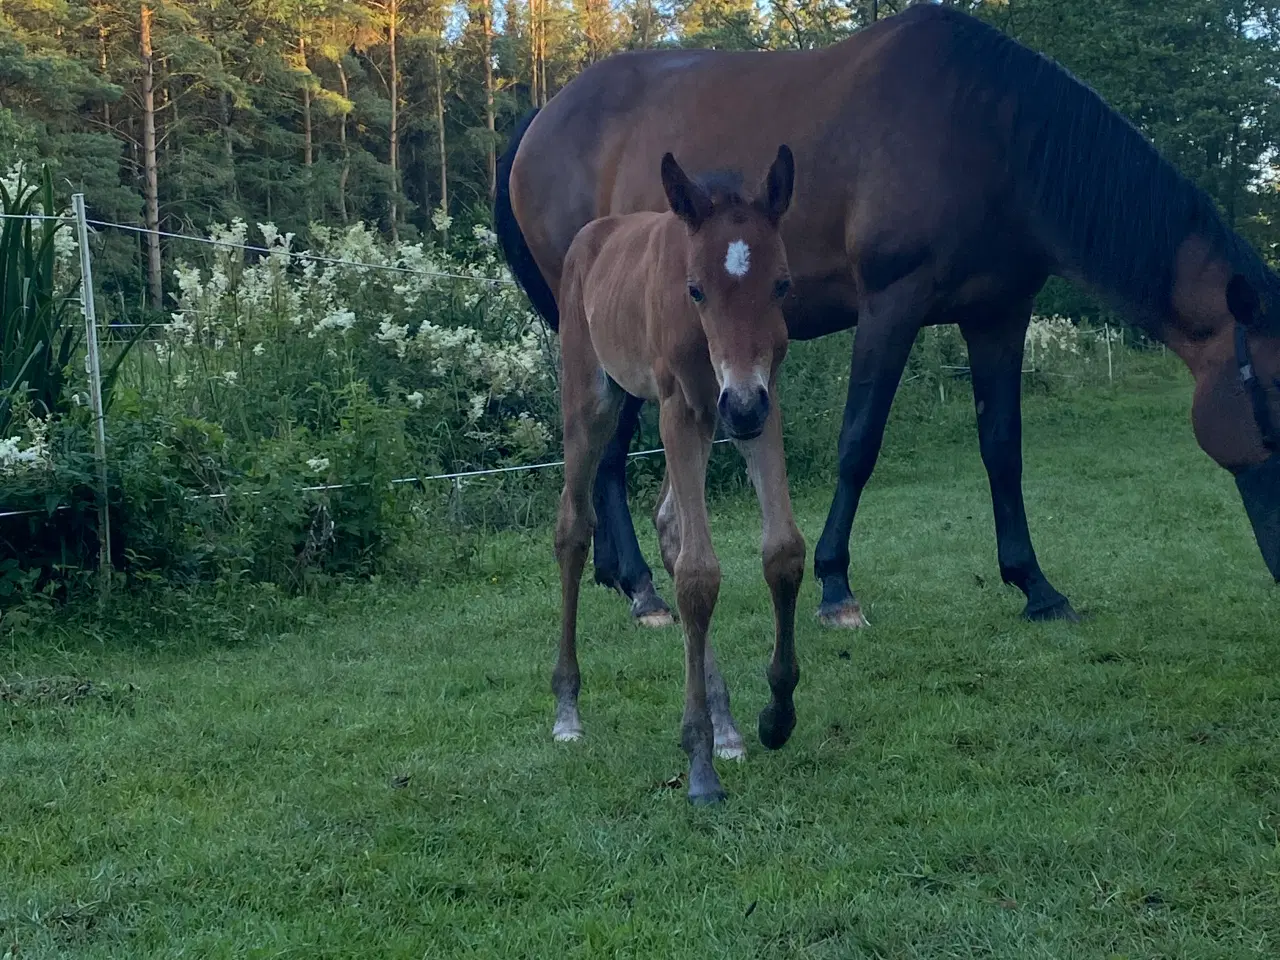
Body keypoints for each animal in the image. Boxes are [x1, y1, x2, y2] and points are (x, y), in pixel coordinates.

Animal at [547, 142, 798, 803]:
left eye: (782, 284)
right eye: (695, 289)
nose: (742, 405)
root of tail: (592, 235)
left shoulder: (760, 403)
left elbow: (783, 551)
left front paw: (776, 714)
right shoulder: (680, 410)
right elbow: (698, 576)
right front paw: (700, 766)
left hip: (706, 419)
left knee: (668, 523)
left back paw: (728, 724)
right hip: (593, 401)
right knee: (573, 527)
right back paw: (567, 710)